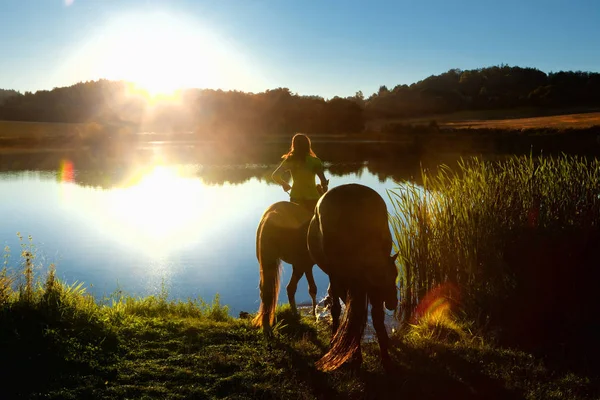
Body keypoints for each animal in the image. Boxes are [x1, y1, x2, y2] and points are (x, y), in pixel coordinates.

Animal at [253, 200, 318, 334]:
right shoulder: (307, 265)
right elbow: (314, 289)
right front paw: (316, 318)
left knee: (268, 290)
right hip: (300, 264)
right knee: (293, 288)